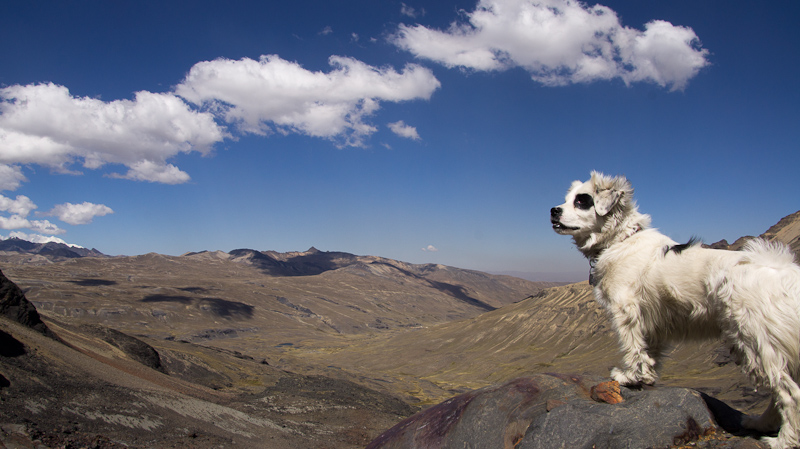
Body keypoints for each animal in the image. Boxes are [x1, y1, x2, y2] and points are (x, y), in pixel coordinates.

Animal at [552, 171, 800, 444]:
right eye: (567, 199)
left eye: (582, 201)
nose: (553, 210)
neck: (621, 240)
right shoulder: (653, 321)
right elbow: (649, 352)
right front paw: (646, 377)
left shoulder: (626, 311)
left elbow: (633, 347)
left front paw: (629, 376)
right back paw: (759, 423)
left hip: (757, 343)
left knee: (789, 394)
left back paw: (783, 440)